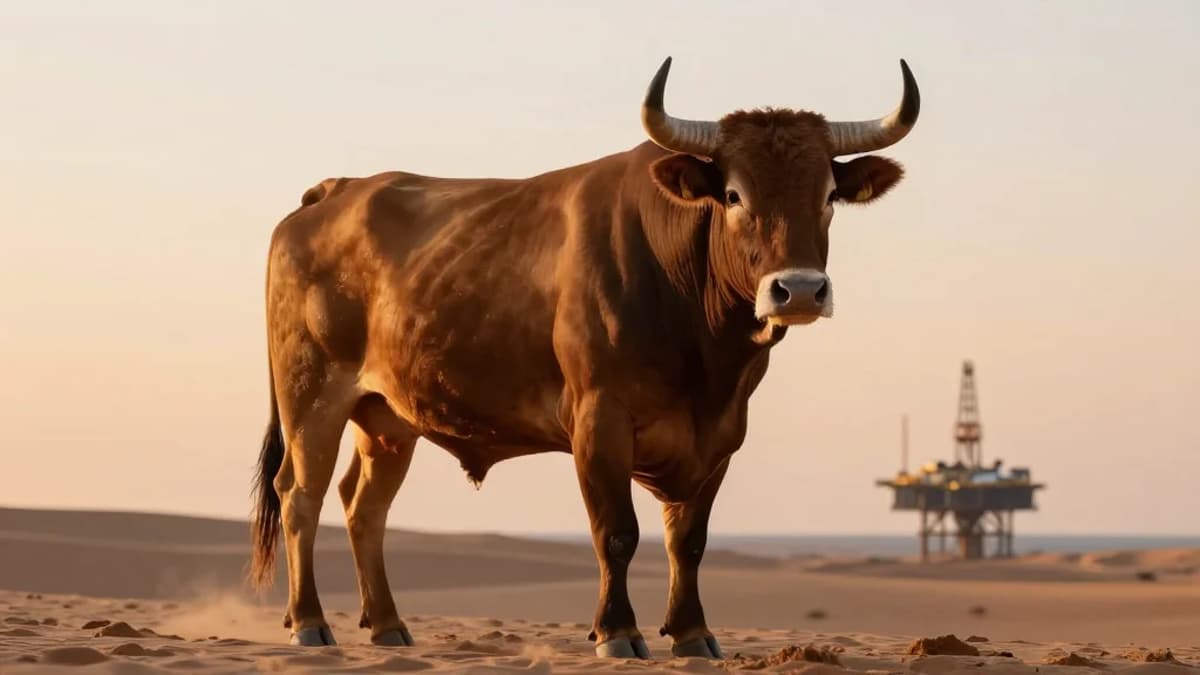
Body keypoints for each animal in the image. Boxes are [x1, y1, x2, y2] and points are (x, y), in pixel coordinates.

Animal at [249, 56, 920, 659]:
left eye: (829, 195)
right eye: (733, 194)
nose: (799, 290)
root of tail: (334, 192)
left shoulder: (722, 434)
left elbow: (689, 540)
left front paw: (693, 633)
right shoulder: (600, 422)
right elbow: (616, 532)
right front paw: (617, 632)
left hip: (387, 417)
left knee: (364, 506)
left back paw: (388, 625)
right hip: (311, 396)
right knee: (300, 496)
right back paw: (309, 623)